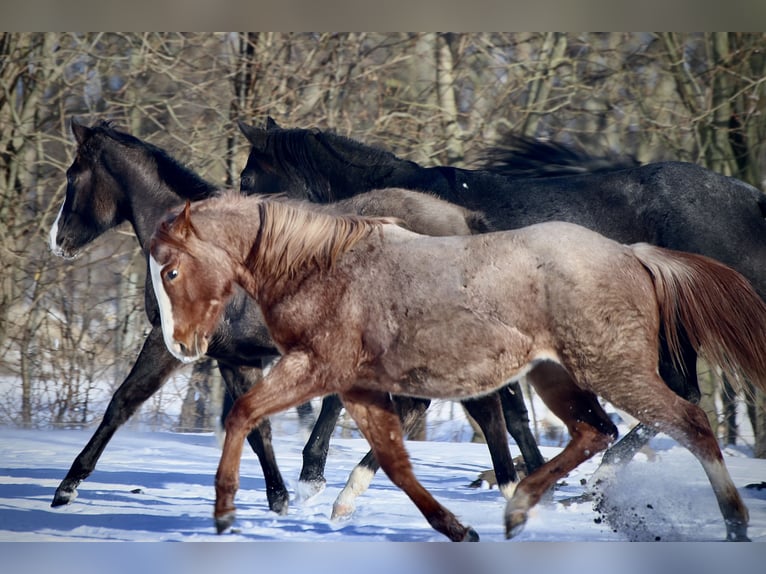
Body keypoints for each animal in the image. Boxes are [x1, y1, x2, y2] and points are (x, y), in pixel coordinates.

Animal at [47, 119, 541, 517]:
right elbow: (256, 427)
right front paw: (279, 500)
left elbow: (122, 402)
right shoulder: (236, 357)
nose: (58, 241)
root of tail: (466, 221)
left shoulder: (169, 342)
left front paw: (67, 488)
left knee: (484, 407)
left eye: (73, 175)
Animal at [149, 192, 766, 542]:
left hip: (613, 371)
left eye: (171, 271)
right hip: (556, 376)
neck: (323, 269)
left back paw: (735, 525)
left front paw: (225, 513)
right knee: (596, 432)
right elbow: (395, 463)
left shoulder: (316, 368)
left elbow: (243, 415)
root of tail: (633, 253)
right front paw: (453, 529)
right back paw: (516, 511)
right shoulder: (357, 386)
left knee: (689, 422)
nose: (181, 345)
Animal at [238, 118, 766, 468]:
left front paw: (312, 470)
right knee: (683, 394)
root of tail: (752, 197)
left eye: (248, 179)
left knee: (682, 396)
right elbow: (510, 413)